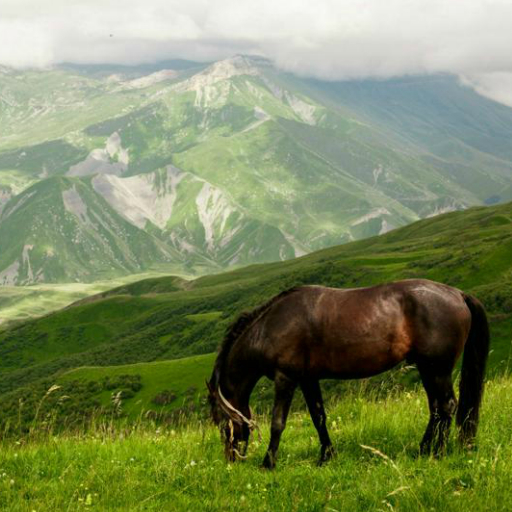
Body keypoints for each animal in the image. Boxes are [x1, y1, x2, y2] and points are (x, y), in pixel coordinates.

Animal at [206, 280, 490, 468]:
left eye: (221, 423)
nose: (231, 460)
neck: (271, 327)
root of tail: (458, 294)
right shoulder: (308, 379)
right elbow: (318, 417)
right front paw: (327, 456)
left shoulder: (286, 378)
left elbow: (278, 422)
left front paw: (268, 462)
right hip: (427, 368)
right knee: (436, 408)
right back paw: (423, 450)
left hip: (437, 368)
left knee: (446, 406)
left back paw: (437, 453)